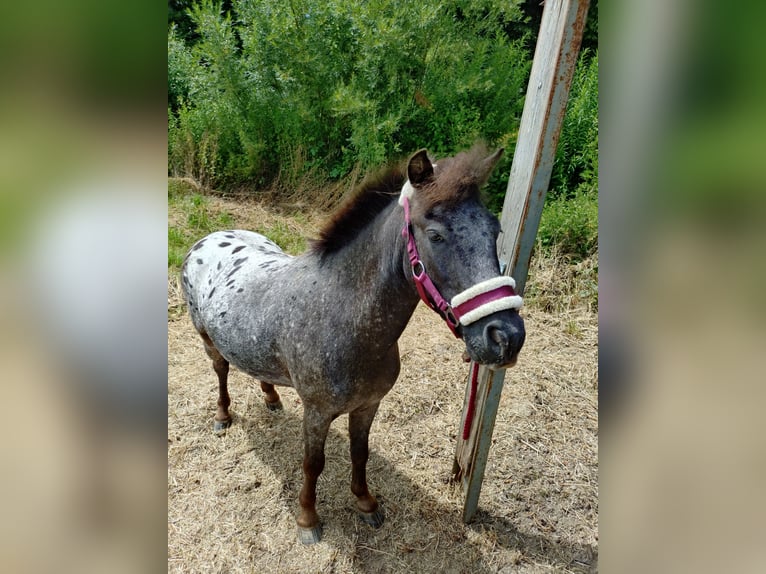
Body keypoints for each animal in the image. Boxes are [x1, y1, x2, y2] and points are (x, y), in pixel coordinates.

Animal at [180, 144, 526, 544]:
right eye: (436, 235)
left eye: (494, 230)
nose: (507, 337)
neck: (344, 318)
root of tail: (208, 238)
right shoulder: (317, 412)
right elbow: (313, 464)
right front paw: (308, 520)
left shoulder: (368, 405)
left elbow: (360, 454)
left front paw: (365, 503)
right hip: (207, 339)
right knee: (221, 371)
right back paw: (222, 416)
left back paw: (271, 397)